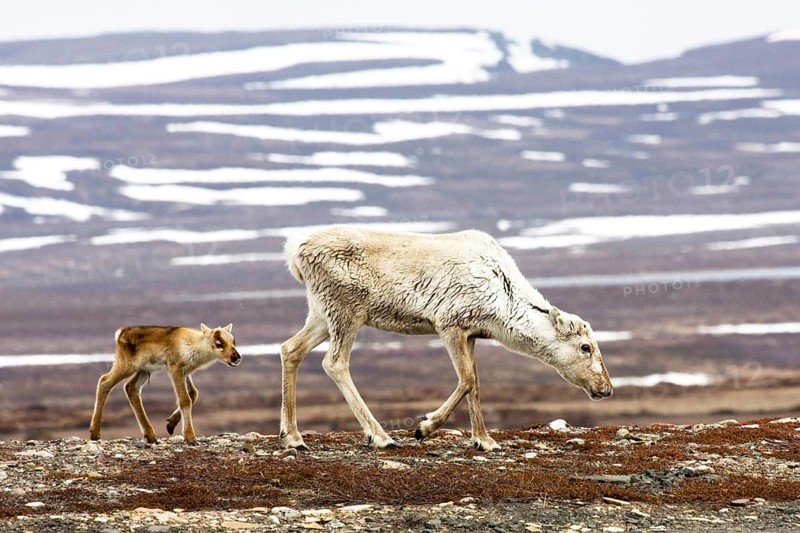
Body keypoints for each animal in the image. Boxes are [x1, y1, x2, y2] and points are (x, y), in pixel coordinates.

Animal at [89, 323, 240, 445]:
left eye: (234, 342)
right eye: (219, 343)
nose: (236, 358)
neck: (194, 345)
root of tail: (121, 332)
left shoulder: (186, 373)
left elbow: (193, 393)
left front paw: (171, 424)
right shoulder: (175, 370)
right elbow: (185, 399)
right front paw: (190, 437)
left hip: (144, 370)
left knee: (131, 388)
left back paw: (150, 435)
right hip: (127, 366)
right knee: (104, 382)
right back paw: (95, 433)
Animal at [280, 226, 613, 452]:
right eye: (585, 347)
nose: (607, 389)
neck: (503, 298)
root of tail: (295, 252)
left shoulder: (472, 334)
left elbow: (476, 384)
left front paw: (484, 440)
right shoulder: (449, 324)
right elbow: (466, 381)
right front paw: (424, 427)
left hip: (321, 313)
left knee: (290, 348)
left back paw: (293, 437)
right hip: (345, 311)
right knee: (334, 363)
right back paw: (382, 437)